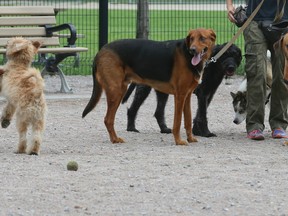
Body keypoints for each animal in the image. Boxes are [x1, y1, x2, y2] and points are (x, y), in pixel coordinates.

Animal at [82, 28, 215, 145]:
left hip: (121, 90)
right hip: (116, 92)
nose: (192, 50)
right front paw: (178, 141)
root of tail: (100, 51)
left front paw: (190, 139)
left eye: (202, 38)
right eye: (191, 39)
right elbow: (177, 122)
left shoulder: (187, 96)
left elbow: (187, 120)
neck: (187, 56)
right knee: (108, 119)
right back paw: (115, 139)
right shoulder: (180, 96)